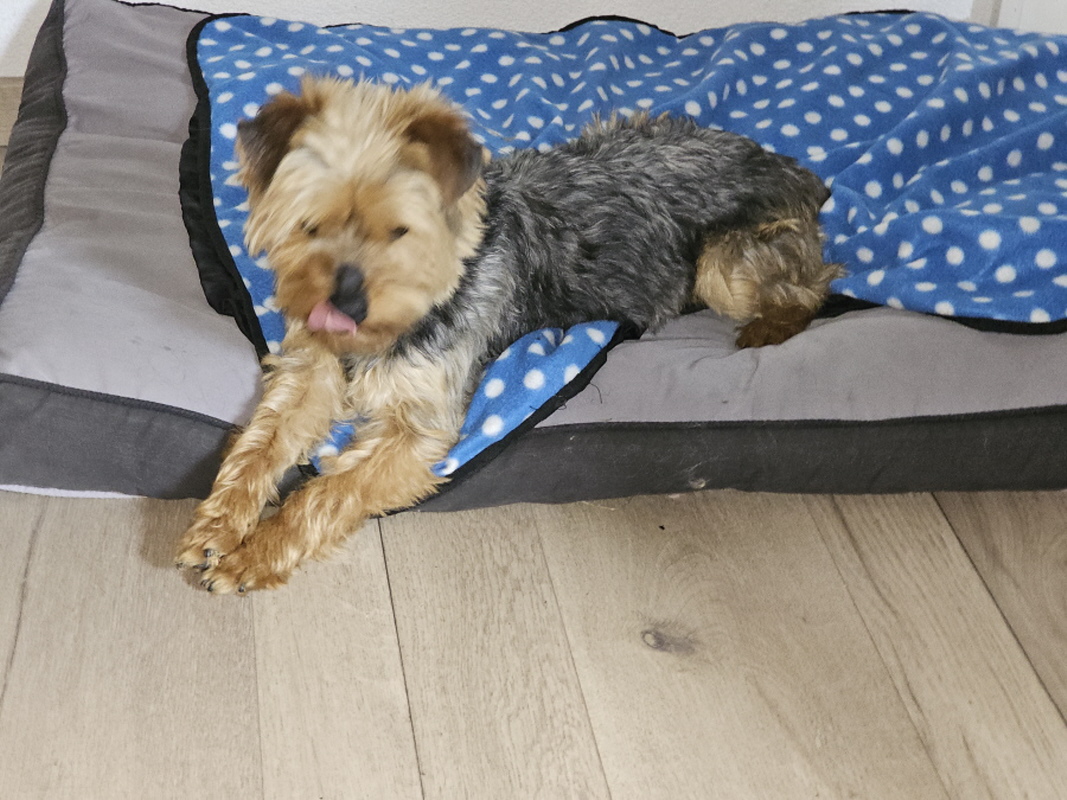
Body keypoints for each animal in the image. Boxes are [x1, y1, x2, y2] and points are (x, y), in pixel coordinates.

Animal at [175, 76, 841, 593]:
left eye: (402, 232)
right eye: (309, 224)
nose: (345, 308)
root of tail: (796, 169)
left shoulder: (420, 433)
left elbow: (324, 494)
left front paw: (256, 555)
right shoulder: (308, 369)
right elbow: (260, 443)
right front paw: (216, 528)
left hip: (724, 263)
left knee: (814, 283)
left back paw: (771, 326)